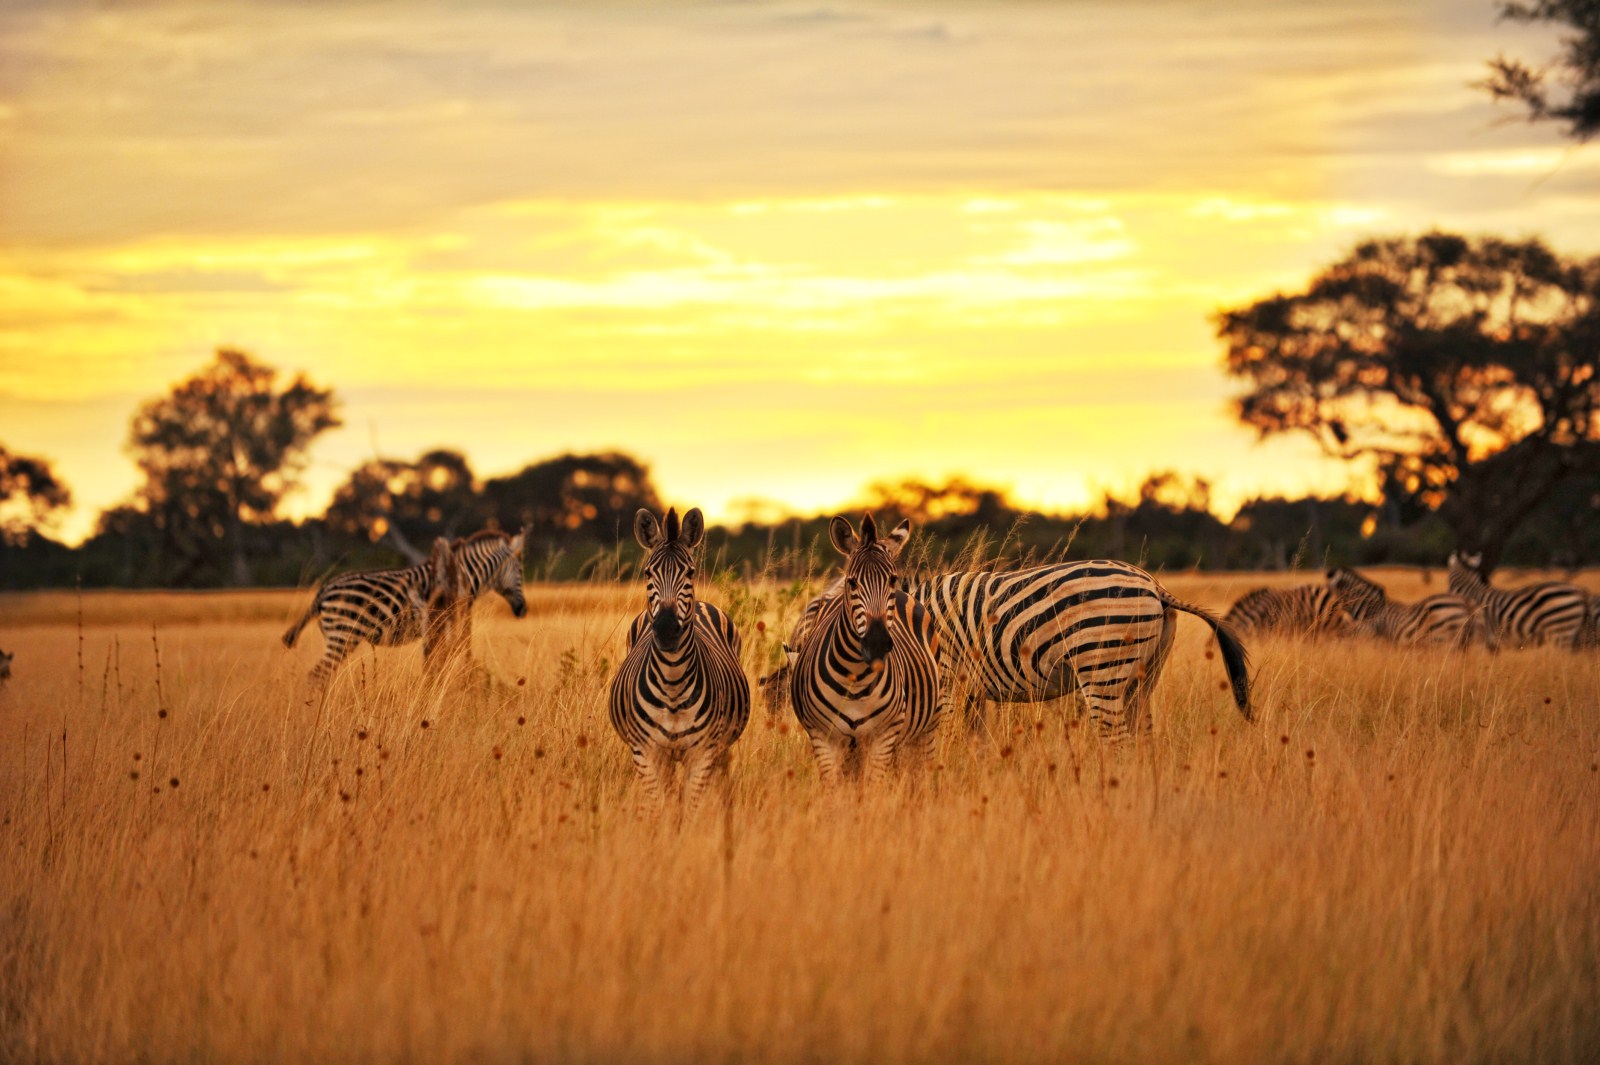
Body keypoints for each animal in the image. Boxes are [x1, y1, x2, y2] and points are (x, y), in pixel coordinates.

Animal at [281, 528, 528, 683]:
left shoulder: (437, 629)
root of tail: (323, 590)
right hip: (342, 635)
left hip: (338, 637)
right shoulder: (449, 622)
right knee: (316, 677)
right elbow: (443, 665)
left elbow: (434, 666)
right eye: (520, 570)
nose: (523, 610)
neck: (464, 574)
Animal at [609, 507, 750, 813]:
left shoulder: (702, 754)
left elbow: (689, 809)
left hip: (720, 746)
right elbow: (663, 808)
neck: (672, 683)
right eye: (648, 572)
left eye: (691, 572)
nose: (665, 628)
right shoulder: (645, 753)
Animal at [788, 514, 943, 784]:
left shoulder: (883, 736)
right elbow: (834, 788)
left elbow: (873, 788)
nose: (877, 642)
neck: (856, 677)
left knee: (923, 769)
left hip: (927, 726)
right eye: (852, 582)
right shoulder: (823, 736)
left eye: (891, 579)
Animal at [1325, 567, 1495, 650]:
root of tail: (1465, 602)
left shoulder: (1377, 642)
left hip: (1444, 640)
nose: (1327, 613)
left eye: (1329, 591)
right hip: (1466, 643)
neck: (1370, 610)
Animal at [1447, 552, 1592, 649]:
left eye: (1450, 580)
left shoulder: (1481, 637)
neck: (1474, 594)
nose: (1448, 594)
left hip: (1560, 630)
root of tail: (1579, 592)